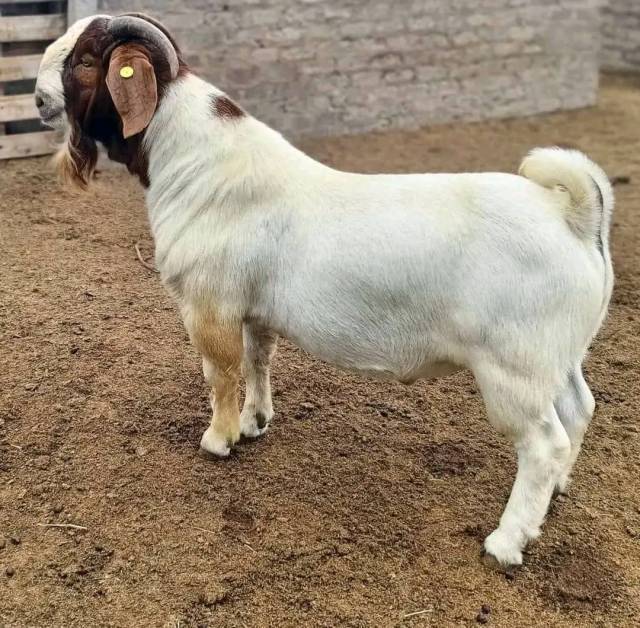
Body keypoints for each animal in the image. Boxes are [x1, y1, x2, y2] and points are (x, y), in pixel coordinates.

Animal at [35, 14, 614, 570]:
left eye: (85, 61)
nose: (39, 100)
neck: (200, 165)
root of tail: (573, 215)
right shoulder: (253, 311)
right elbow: (257, 362)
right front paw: (255, 422)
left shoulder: (209, 304)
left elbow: (220, 373)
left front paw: (218, 440)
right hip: (557, 357)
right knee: (579, 409)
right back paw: (560, 489)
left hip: (514, 368)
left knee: (542, 444)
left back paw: (507, 542)